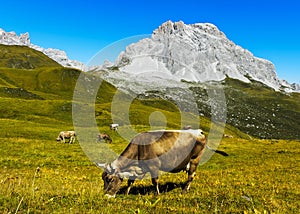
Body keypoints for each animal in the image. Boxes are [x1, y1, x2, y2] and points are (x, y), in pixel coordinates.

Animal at [96, 129, 227, 197]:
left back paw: (184, 191)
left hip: (195, 159)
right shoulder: (138, 169)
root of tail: (199, 131)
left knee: (191, 176)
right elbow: (130, 182)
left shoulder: (153, 166)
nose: (106, 195)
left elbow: (155, 181)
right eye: (103, 179)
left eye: (110, 179)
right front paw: (126, 193)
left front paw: (157, 195)